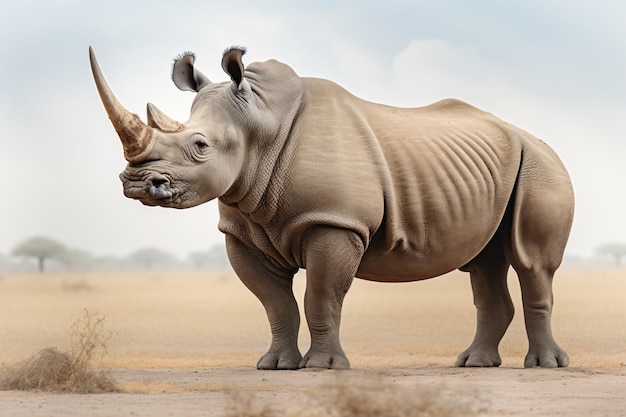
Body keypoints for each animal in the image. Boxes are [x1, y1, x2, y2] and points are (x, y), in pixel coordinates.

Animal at [88, 45, 572, 368]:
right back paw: (471, 363)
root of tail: (537, 139)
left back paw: (544, 366)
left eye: (200, 145)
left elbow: (321, 295)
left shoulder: (335, 222)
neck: (260, 123)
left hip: (542, 165)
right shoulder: (242, 229)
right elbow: (274, 303)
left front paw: (321, 368)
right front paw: (275, 366)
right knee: (482, 262)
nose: (136, 183)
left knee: (531, 262)